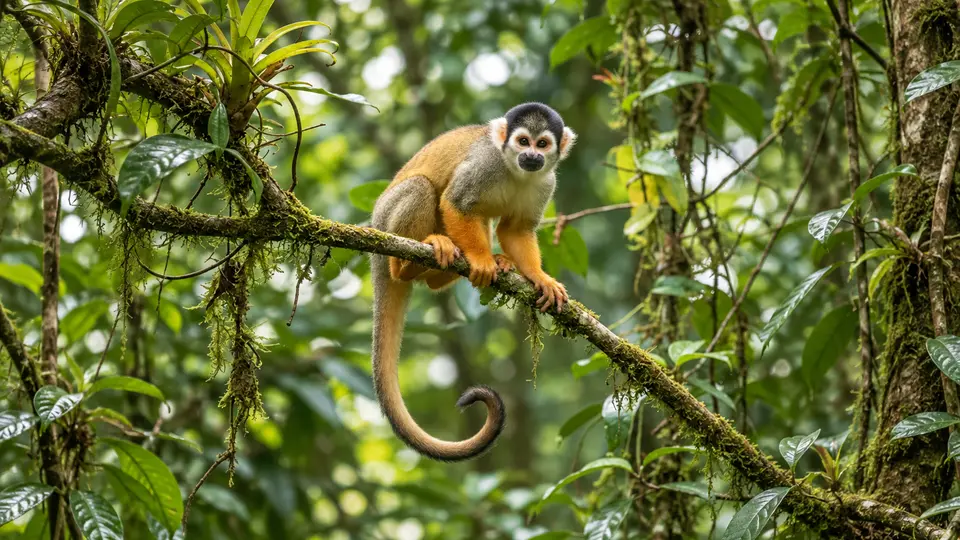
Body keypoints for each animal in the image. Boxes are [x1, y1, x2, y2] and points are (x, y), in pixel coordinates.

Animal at [369, 102, 577, 461]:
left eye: (543, 144)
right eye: (523, 141)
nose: (532, 157)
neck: (515, 170)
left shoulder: (546, 182)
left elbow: (515, 230)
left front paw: (539, 277)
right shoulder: (484, 164)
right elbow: (456, 203)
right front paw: (480, 259)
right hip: (385, 222)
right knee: (422, 188)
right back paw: (407, 266)